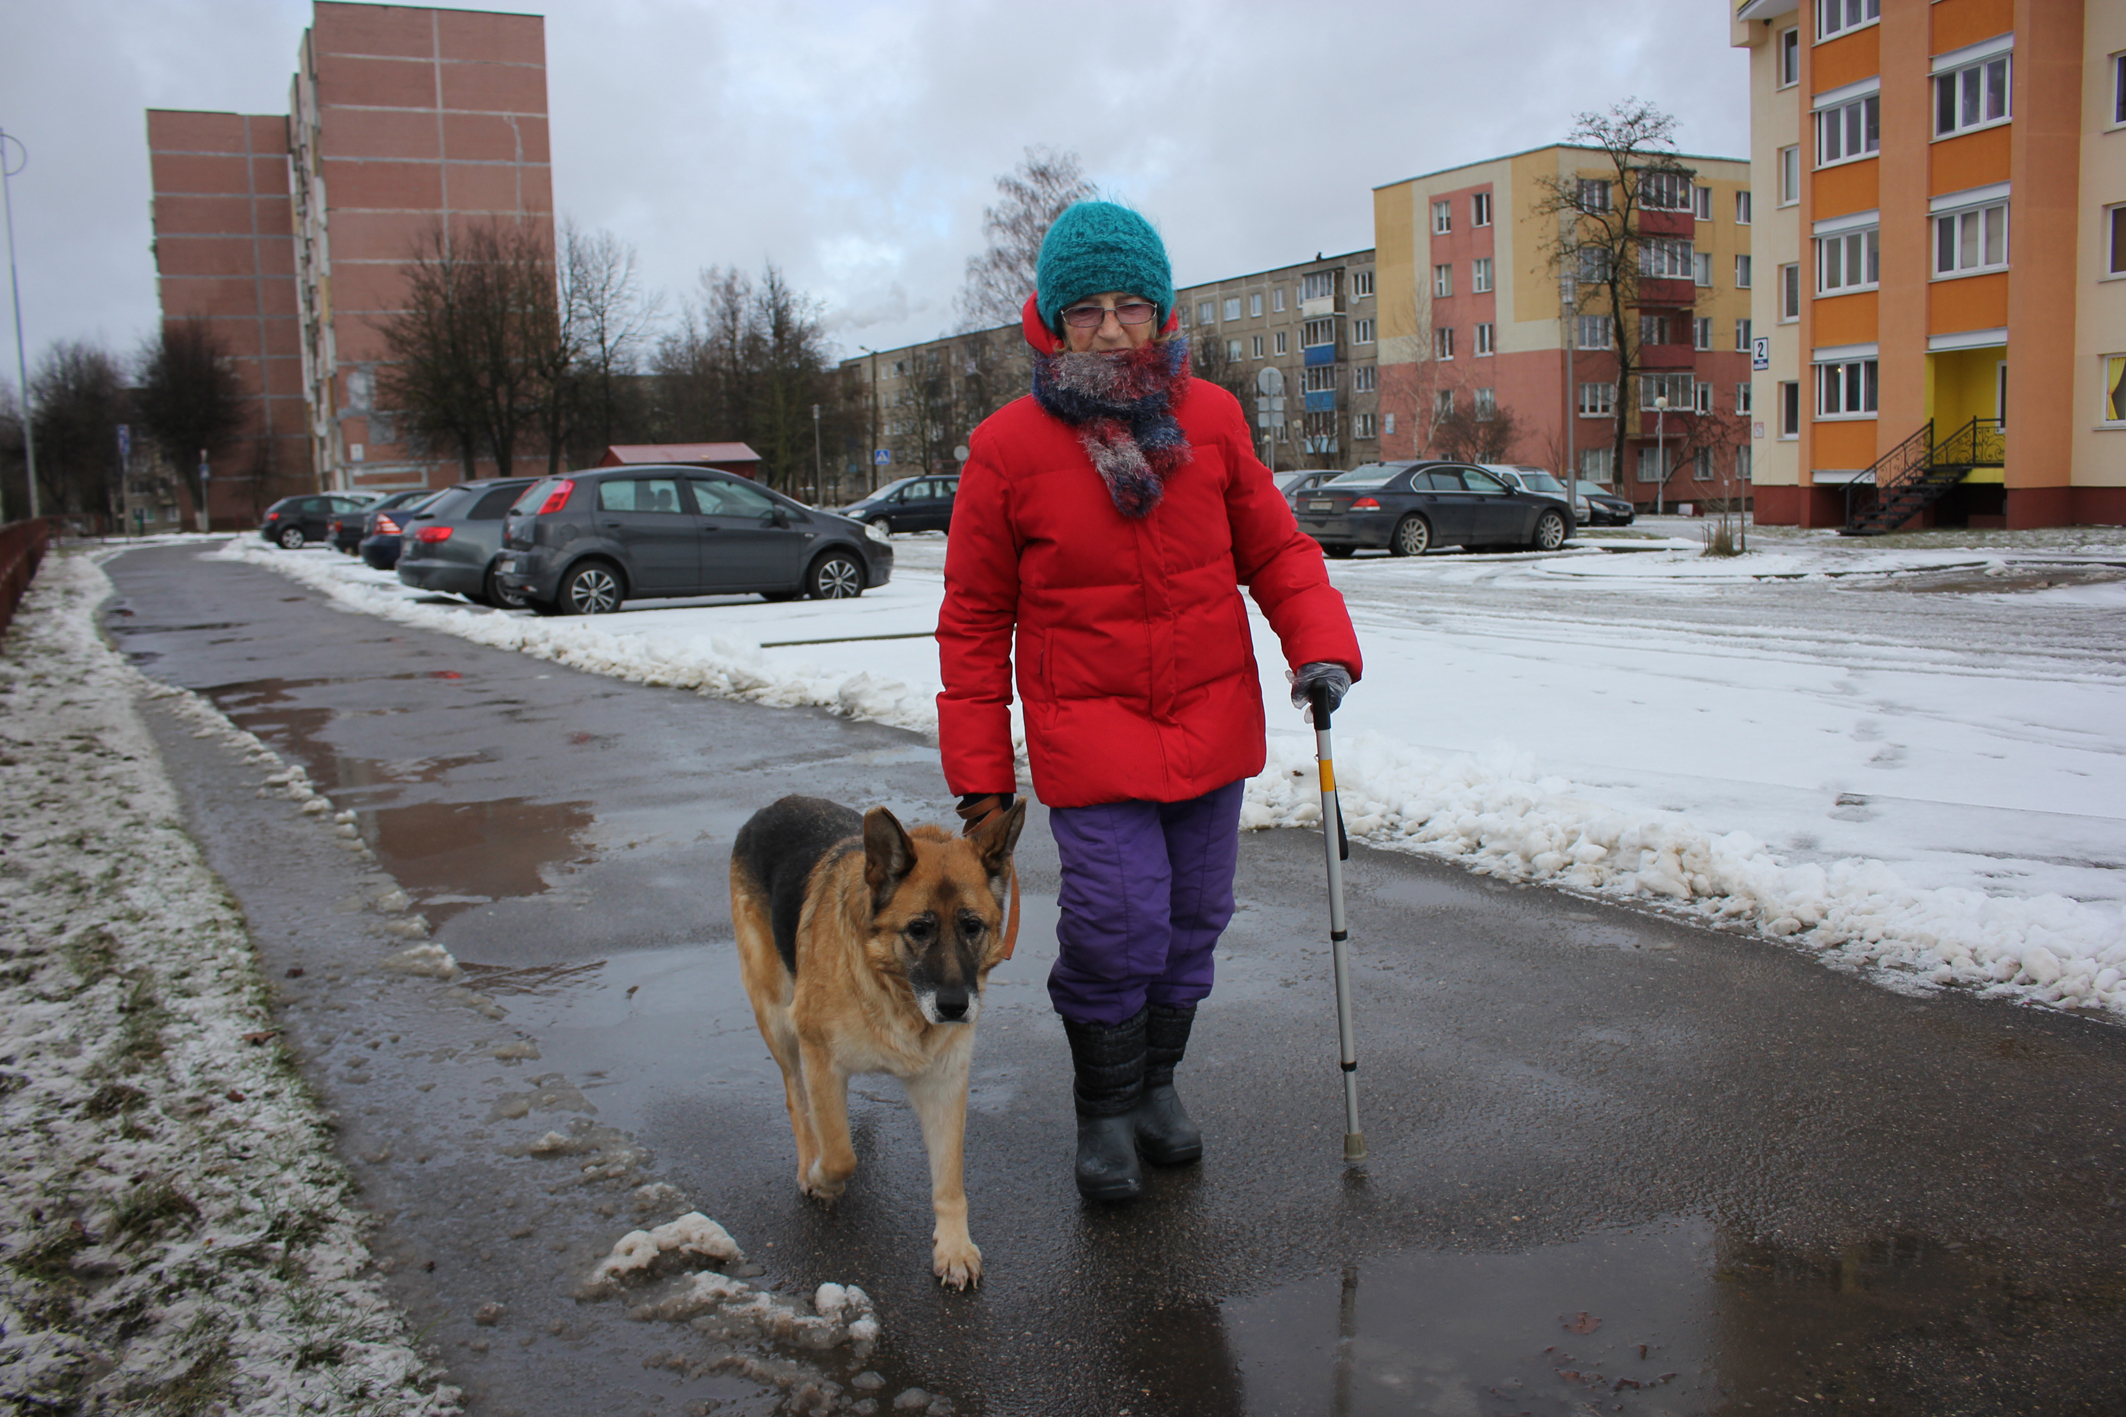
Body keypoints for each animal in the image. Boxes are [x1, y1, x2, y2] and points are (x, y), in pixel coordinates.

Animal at [731, 794, 1028, 1291]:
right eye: (919, 929)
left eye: (972, 927)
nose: (954, 1008)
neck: (894, 988)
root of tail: (779, 804)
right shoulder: (819, 1056)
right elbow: (839, 1154)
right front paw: (821, 1177)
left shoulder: (944, 1082)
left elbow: (949, 1179)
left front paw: (953, 1246)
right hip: (777, 1020)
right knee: (797, 1100)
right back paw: (807, 1160)